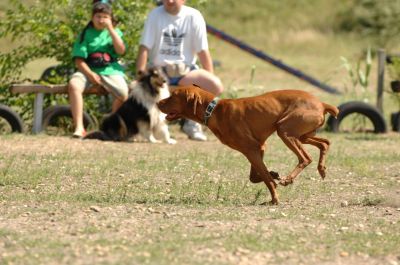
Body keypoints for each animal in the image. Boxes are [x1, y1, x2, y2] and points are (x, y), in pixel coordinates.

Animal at [156, 85, 338, 204]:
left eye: (173, 95)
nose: (157, 103)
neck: (214, 111)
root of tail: (321, 103)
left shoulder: (252, 149)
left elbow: (266, 179)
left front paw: (274, 199)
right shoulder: (257, 149)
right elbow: (256, 176)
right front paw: (274, 174)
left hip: (284, 131)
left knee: (305, 158)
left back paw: (288, 179)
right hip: (302, 135)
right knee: (325, 143)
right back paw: (321, 169)